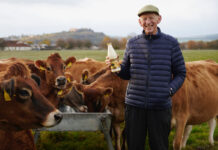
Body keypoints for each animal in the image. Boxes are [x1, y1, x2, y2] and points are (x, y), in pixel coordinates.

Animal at [73, 60, 218, 150]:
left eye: (98, 102)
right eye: (84, 101)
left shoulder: (180, 118)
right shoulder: (115, 118)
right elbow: (118, 136)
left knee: (210, 123)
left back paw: (210, 141)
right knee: (195, 127)